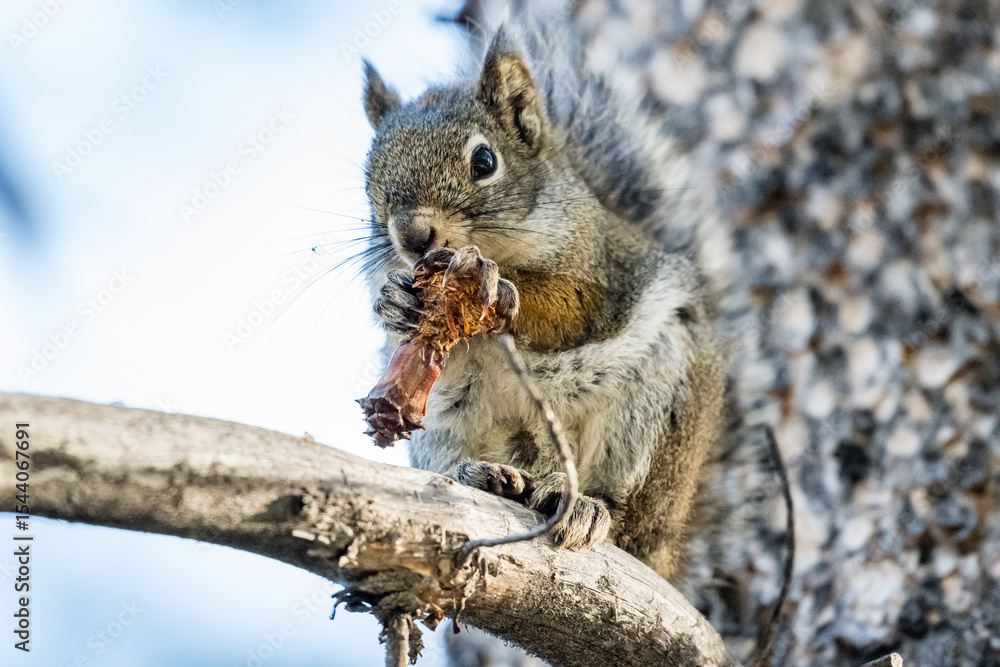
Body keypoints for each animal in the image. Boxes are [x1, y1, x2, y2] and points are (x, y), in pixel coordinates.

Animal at [359, 12, 791, 661]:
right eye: (368, 180)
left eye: (483, 161)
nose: (412, 235)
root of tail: (669, 548)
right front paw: (393, 299)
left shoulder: (602, 270)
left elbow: (570, 309)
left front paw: (502, 289)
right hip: (447, 423)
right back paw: (486, 477)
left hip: (655, 407)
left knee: (626, 514)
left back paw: (587, 506)